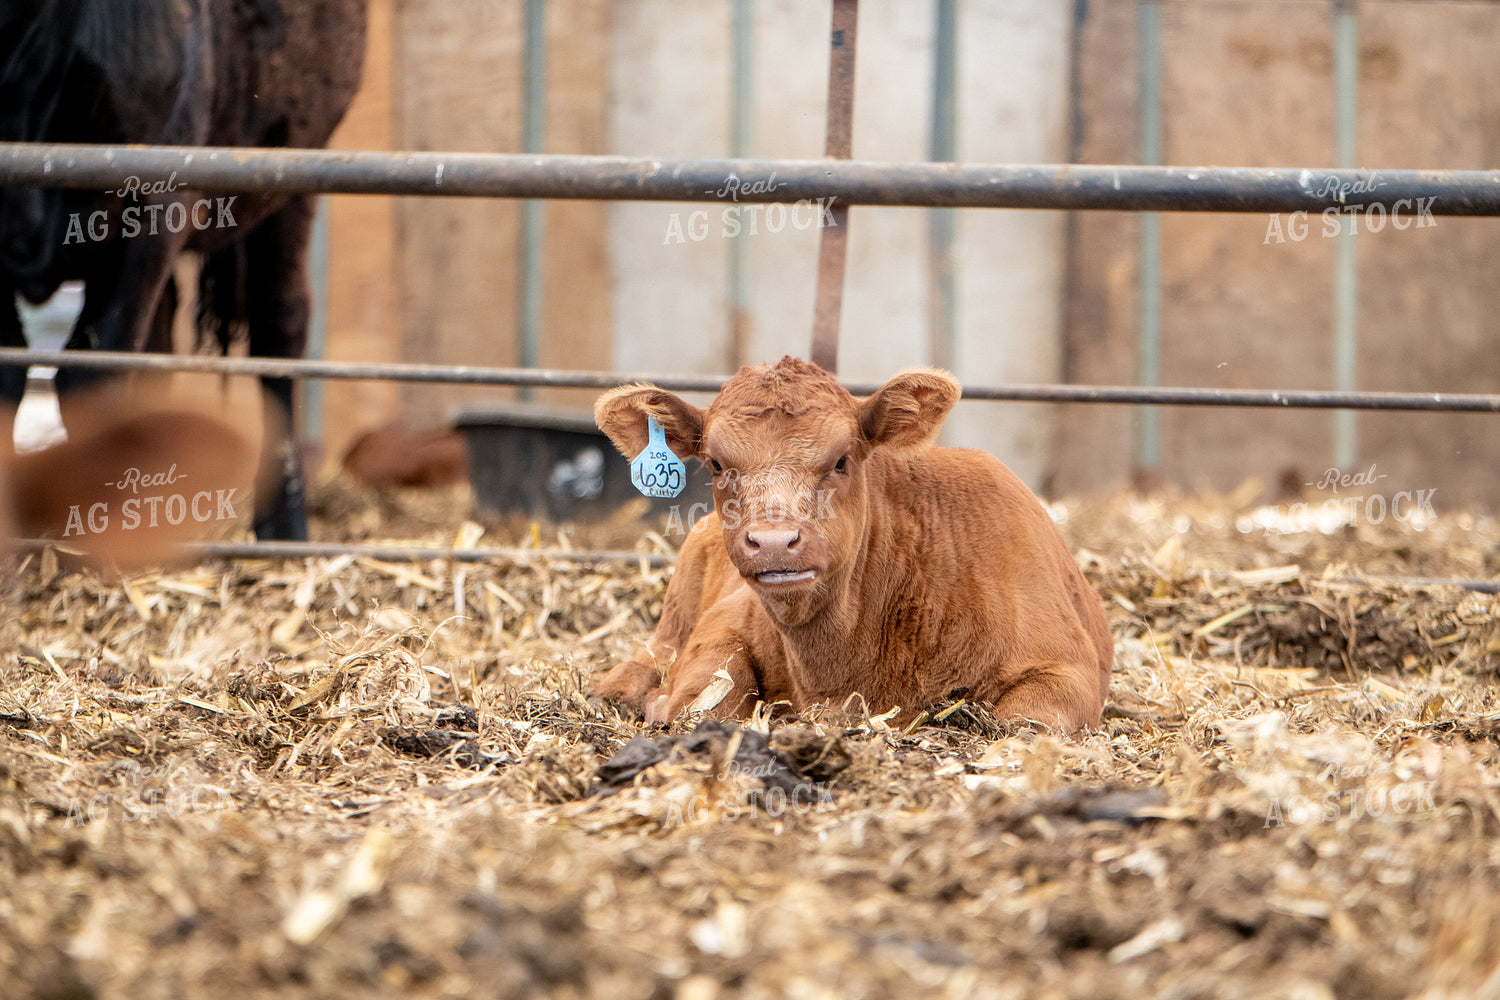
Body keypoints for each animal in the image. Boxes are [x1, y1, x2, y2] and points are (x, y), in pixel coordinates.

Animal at [589, 357, 1114, 734]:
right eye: (716, 464)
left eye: (842, 459)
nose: (774, 542)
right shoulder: (724, 622)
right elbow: (710, 696)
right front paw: (663, 703)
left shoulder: (1067, 667)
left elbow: (1024, 719)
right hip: (671, 624)